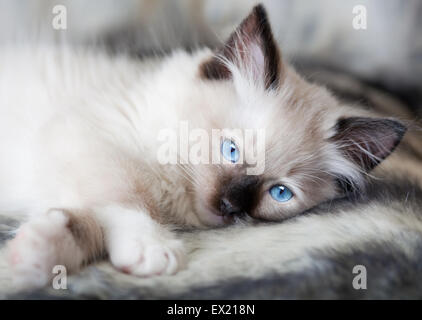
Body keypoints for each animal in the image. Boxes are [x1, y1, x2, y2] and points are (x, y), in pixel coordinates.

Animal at [1, 4, 408, 290]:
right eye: (231, 150)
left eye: (279, 193)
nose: (231, 206)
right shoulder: (85, 139)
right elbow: (130, 199)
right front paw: (154, 248)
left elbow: (86, 224)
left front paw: (31, 256)